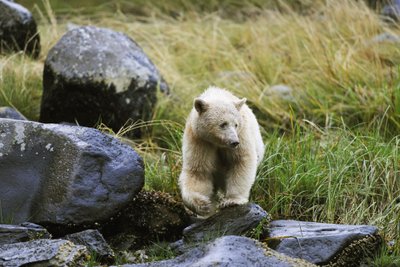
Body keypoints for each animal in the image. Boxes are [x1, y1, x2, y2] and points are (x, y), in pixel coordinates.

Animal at [180, 87, 264, 217]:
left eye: (236, 124)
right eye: (223, 124)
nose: (234, 142)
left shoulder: (242, 134)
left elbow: (240, 161)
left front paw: (231, 201)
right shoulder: (200, 140)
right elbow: (198, 170)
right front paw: (203, 205)